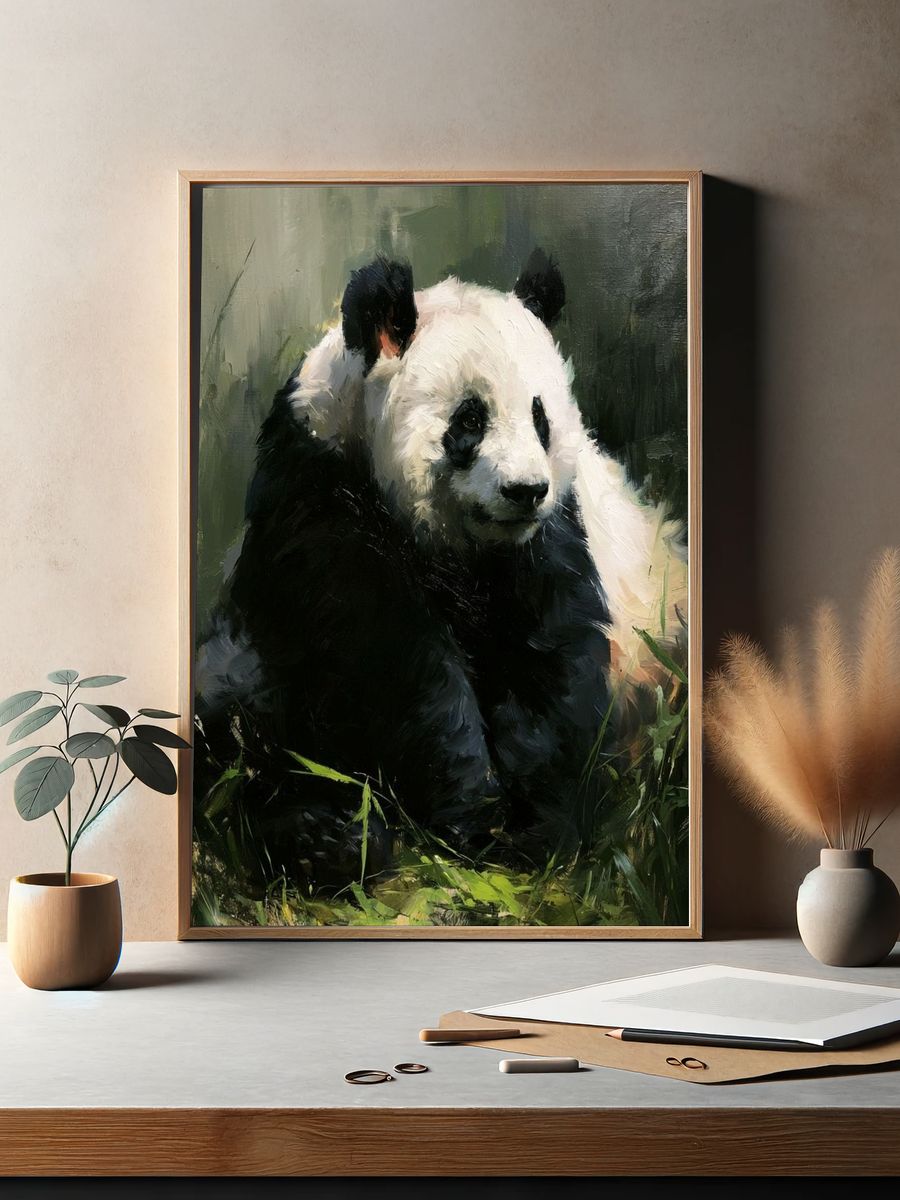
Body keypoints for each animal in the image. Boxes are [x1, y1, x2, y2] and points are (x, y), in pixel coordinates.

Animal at [198, 251, 686, 854]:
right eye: (469, 419)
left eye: (541, 419)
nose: (525, 491)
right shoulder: (316, 487)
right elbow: (383, 652)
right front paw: (474, 808)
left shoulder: (551, 536)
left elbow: (551, 650)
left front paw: (540, 819)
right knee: (239, 725)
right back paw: (327, 837)